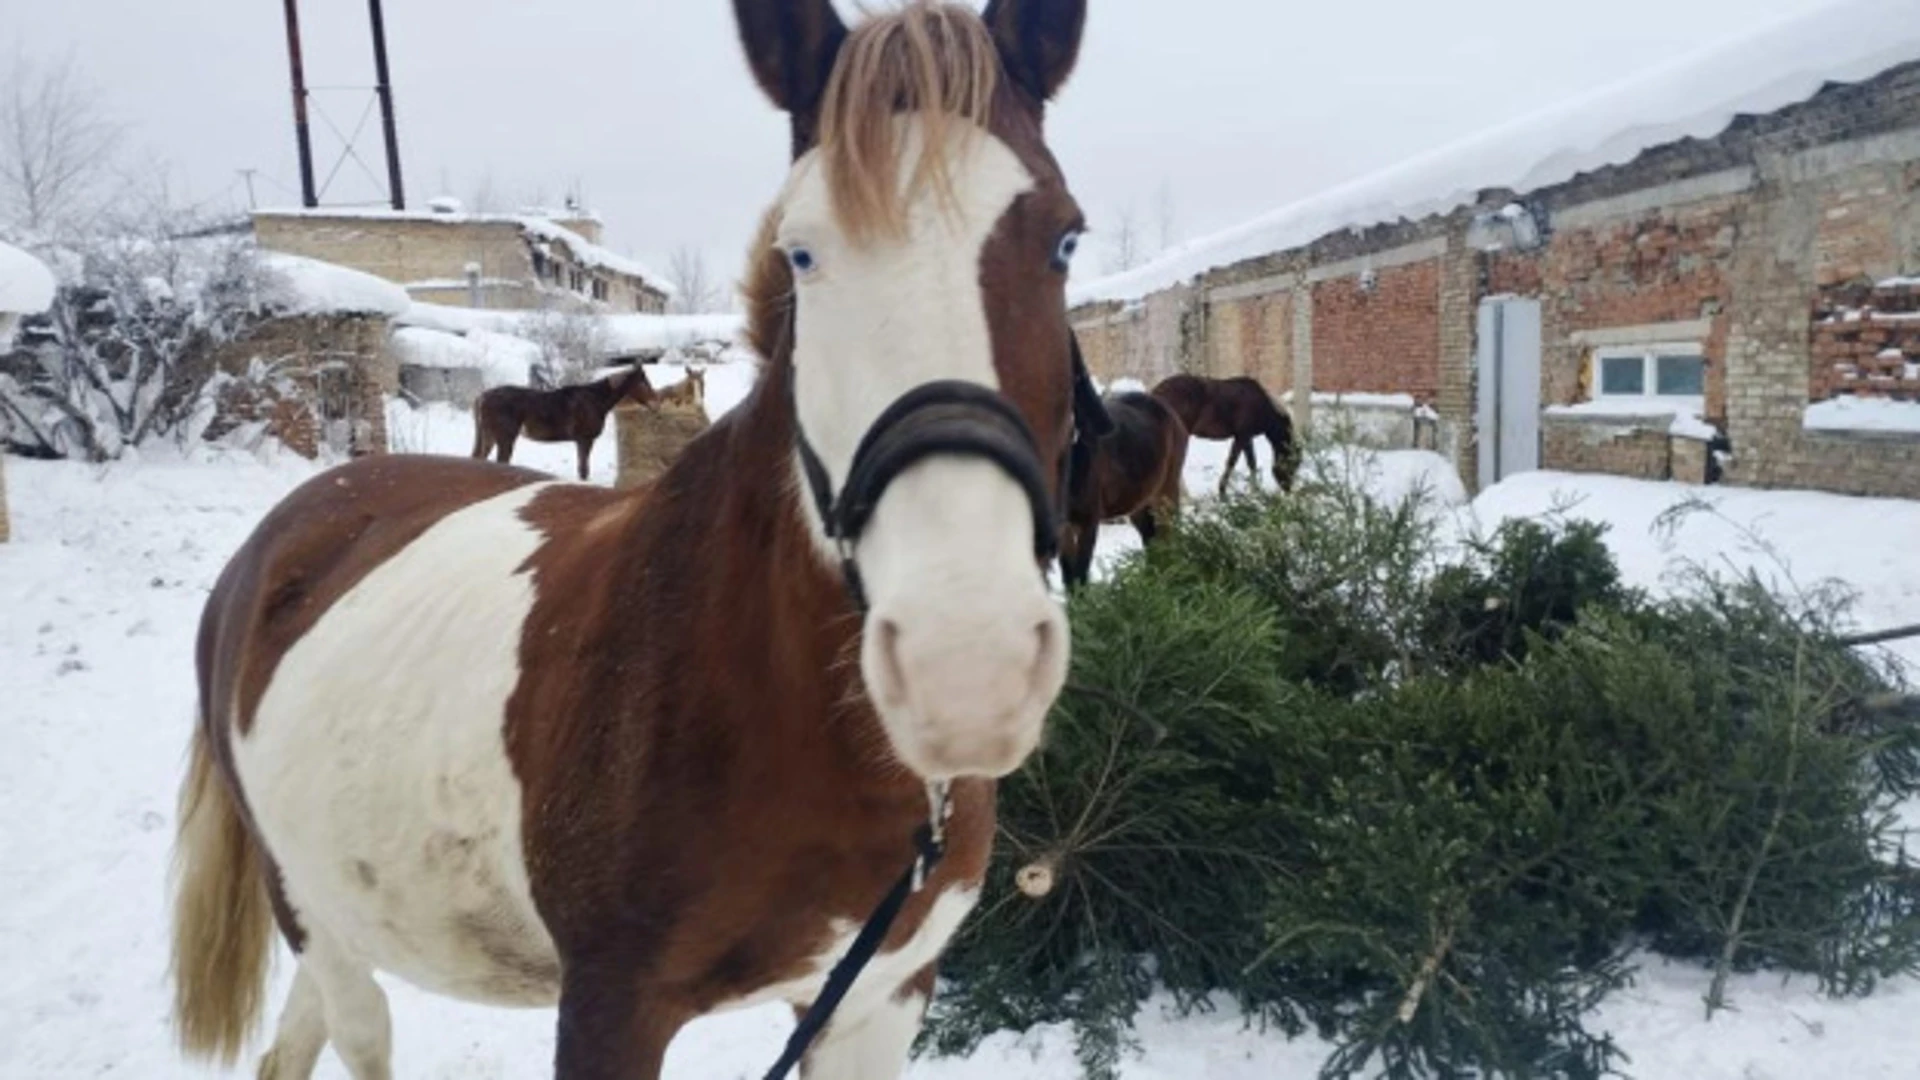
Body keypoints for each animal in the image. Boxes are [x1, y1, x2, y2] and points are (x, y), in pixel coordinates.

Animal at [472, 363, 660, 476]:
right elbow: (583, 471)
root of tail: (483, 396)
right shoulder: (585, 440)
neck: (594, 400)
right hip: (504, 439)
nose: (655, 404)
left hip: (489, 437)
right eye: (643, 382)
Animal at [1059, 388, 1190, 584]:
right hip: (1139, 504)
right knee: (1151, 540)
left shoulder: (1088, 520)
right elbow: (1069, 575)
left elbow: (1080, 573)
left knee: (1169, 537)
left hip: (1166, 492)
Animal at [1144, 367, 1297, 490]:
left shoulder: (1246, 437)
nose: (1288, 489)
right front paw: (1222, 492)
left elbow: (1251, 463)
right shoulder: (1242, 435)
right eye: (1293, 464)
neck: (1263, 405)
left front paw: (1256, 491)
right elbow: (1231, 462)